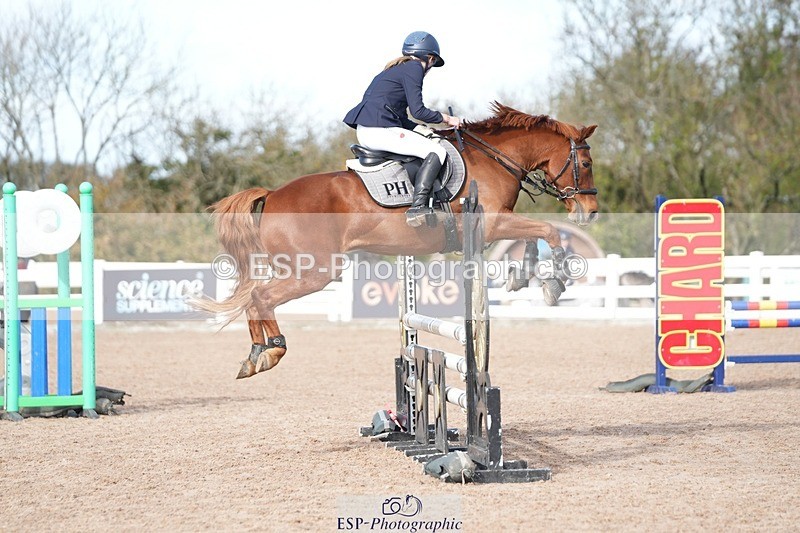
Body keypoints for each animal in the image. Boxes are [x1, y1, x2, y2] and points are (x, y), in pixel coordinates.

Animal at [197, 102, 598, 379]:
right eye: (587, 164)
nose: (590, 211)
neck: (494, 161)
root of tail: (273, 194)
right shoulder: (494, 223)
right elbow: (547, 230)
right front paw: (555, 280)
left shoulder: (499, 225)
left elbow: (535, 235)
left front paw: (526, 275)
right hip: (316, 270)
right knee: (261, 297)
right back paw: (270, 352)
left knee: (255, 296)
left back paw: (254, 356)